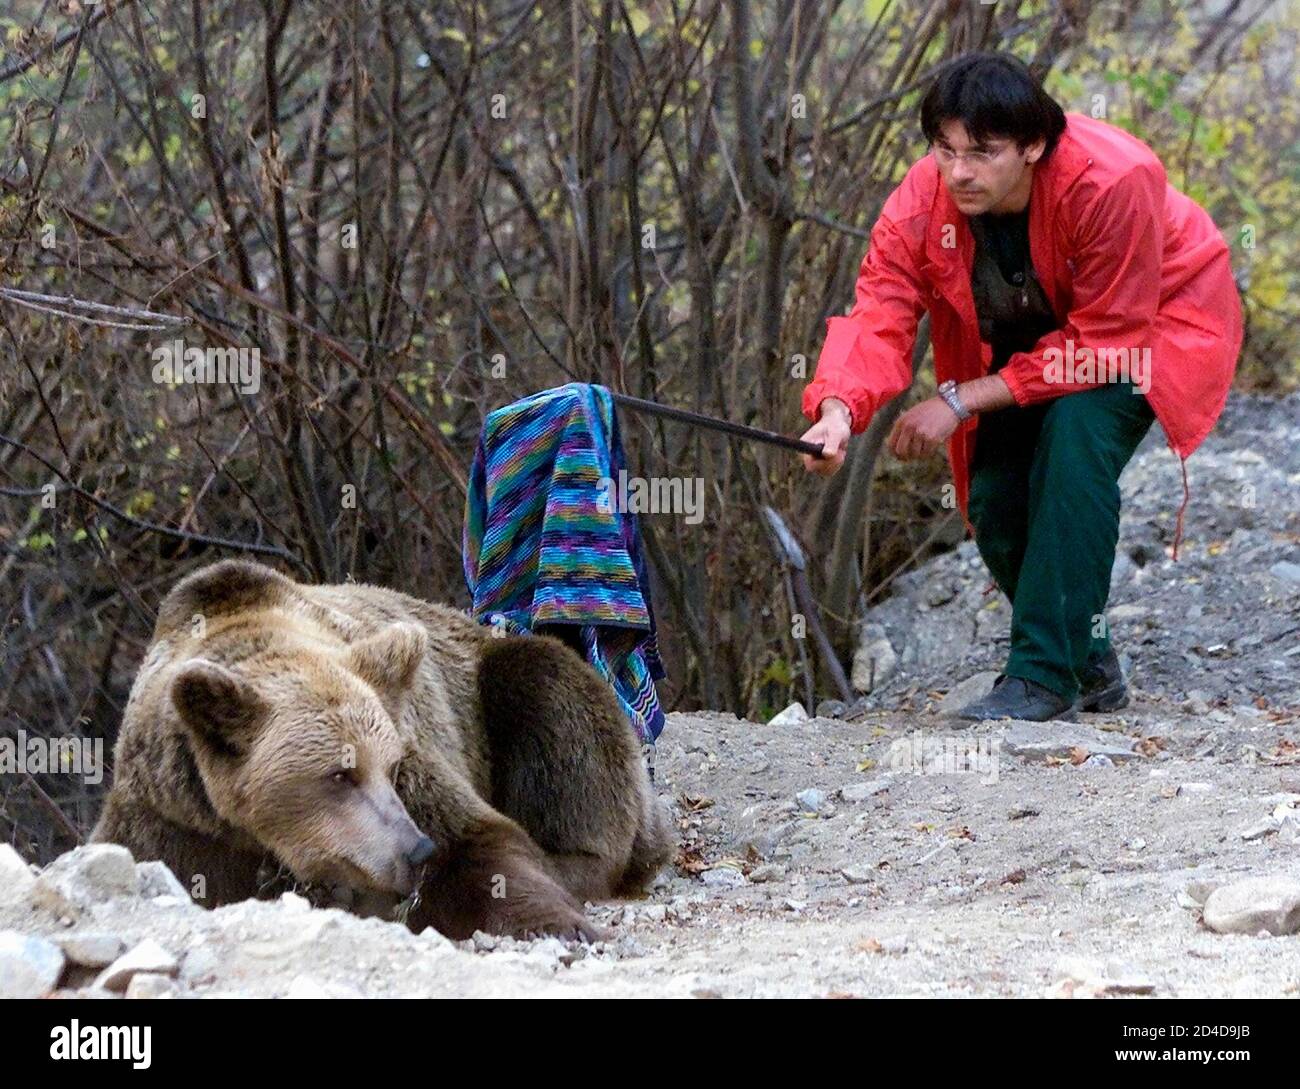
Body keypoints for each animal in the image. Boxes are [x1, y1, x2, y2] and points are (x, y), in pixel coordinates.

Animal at [91, 558, 674, 941]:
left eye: (386, 768)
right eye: (338, 774)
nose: (414, 850)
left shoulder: (414, 748)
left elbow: (476, 842)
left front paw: (561, 925)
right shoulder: (176, 818)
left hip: (500, 685)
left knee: (544, 687)